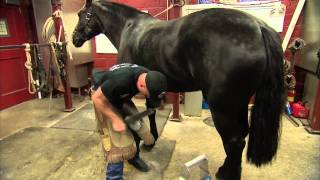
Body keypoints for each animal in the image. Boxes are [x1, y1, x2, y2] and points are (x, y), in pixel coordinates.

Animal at [72, 0, 284, 179]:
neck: (130, 27)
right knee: (242, 136)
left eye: (82, 14)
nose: (75, 38)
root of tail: (259, 27)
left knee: (234, 141)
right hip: (238, 104)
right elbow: (150, 111)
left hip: (223, 107)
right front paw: (152, 141)